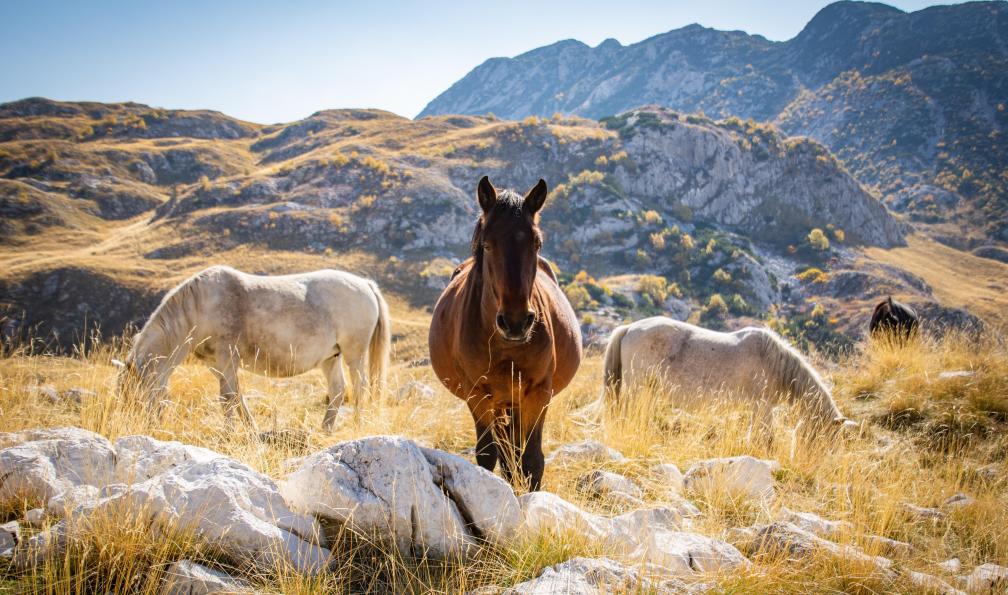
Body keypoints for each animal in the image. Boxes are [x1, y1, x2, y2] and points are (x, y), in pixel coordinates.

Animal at [116, 265, 391, 430]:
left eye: (133, 393)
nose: (135, 427)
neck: (201, 307)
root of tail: (365, 284)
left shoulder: (227, 358)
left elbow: (227, 398)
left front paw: (229, 433)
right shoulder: (217, 365)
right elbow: (236, 396)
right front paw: (250, 429)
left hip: (354, 354)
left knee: (360, 388)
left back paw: (357, 425)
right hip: (330, 357)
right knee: (337, 390)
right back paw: (325, 429)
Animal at [429, 176, 582, 491]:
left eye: (536, 243)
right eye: (487, 245)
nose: (515, 322)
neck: (506, 346)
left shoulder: (538, 393)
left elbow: (532, 460)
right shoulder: (478, 395)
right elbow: (489, 455)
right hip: (500, 404)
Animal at [601, 317, 853, 435]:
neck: (773, 361)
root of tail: (629, 328)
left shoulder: (759, 408)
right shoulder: (762, 406)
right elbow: (766, 438)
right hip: (637, 387)